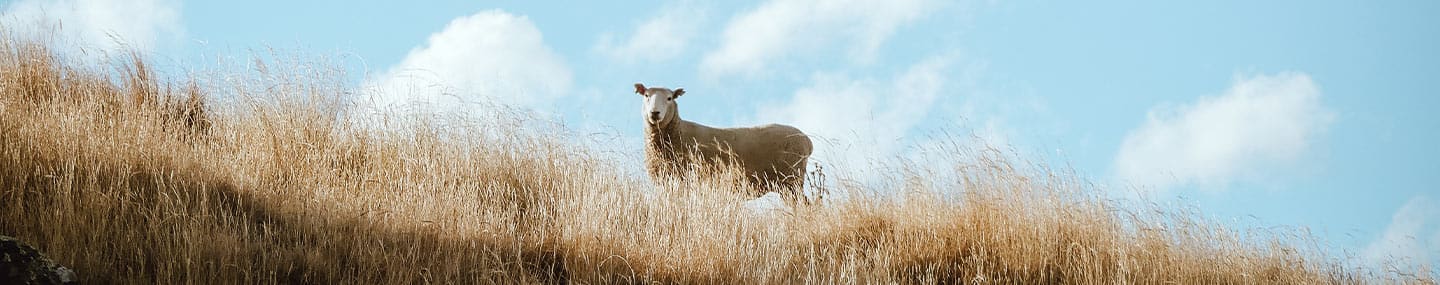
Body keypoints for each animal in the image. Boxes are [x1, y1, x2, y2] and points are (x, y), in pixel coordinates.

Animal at [636, 82, 817, 200]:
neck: (678, 131)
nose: (655, 113)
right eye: (646, 95)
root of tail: (807, 141)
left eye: (669, 98)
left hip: (791, 180)